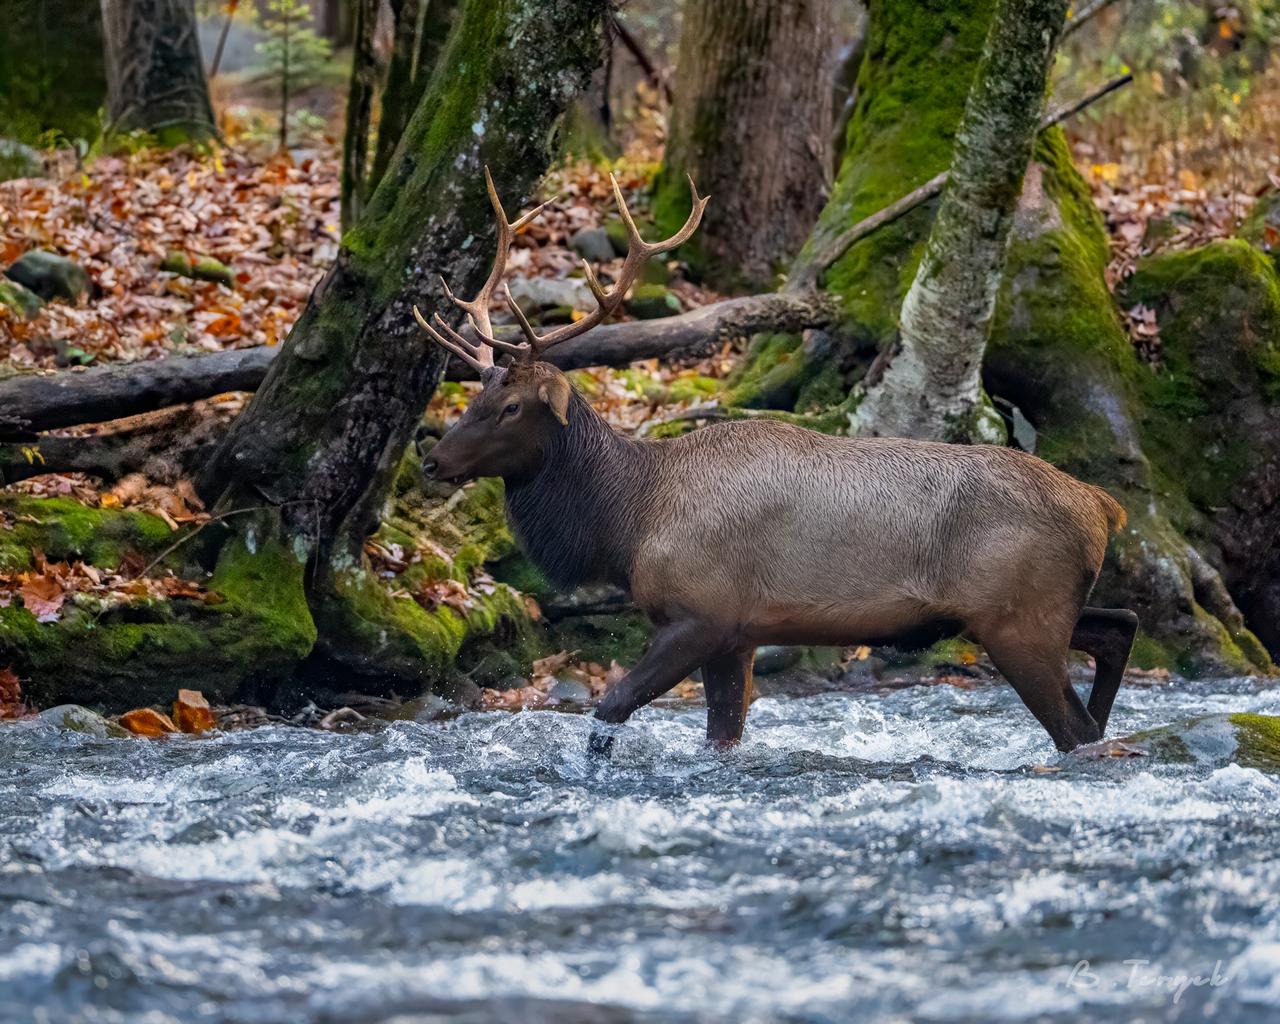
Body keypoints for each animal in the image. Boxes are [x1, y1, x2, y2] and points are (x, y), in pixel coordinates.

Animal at [413, 168, 1139, 756]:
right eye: (476, 395)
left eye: (511, 406)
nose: (432, 460)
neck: (628, 520)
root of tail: (1103, 506)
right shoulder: (738, 635)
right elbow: (721, 734)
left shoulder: (702, 612)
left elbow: (609, 707)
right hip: (1037, 610)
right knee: (1118, 630)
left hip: (1018, 618)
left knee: (1077, 726)